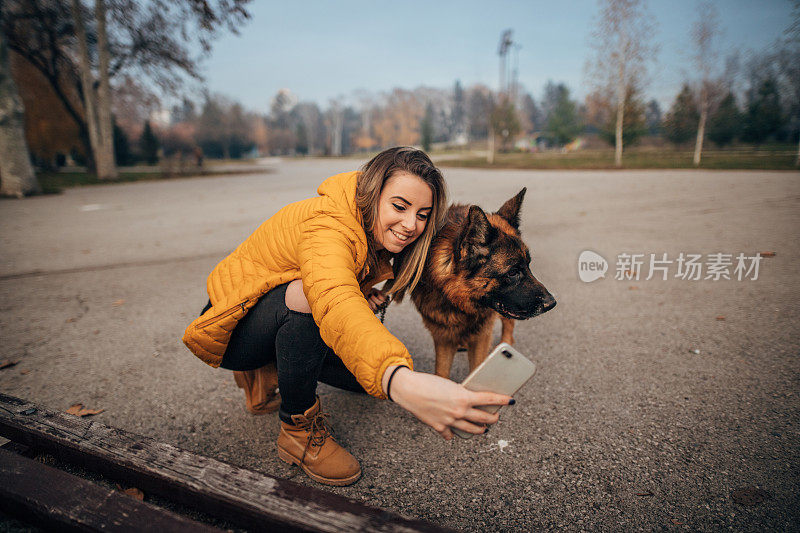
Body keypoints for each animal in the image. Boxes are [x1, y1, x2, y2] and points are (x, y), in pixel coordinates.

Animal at [412, 188, 556, 378]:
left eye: (528, 265)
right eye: (512, 272)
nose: (552, 303)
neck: (459, 302)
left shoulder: (482, 336)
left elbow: (477, 366)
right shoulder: (442, 338)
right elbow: (441, 373)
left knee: (508, 325)